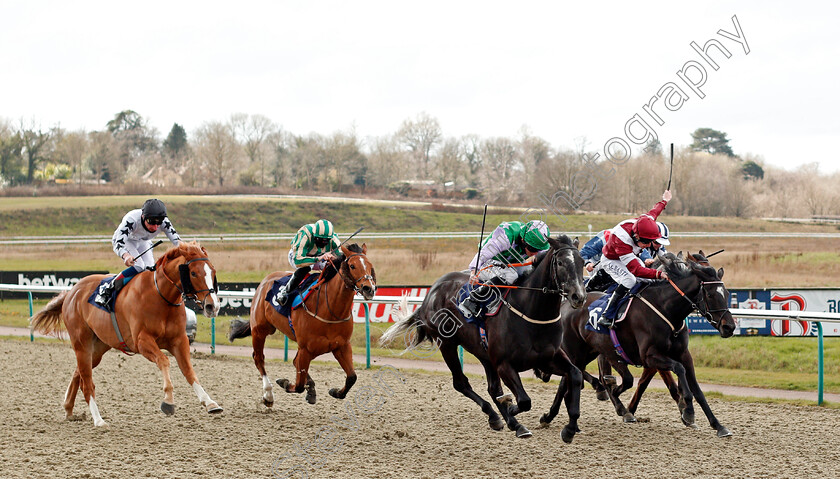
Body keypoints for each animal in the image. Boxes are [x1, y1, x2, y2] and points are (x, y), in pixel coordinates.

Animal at [31, 244, 225, 428]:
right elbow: (164, 361)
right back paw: (98, 420)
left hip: (98, 348)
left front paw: (210, 402)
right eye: (193, 273)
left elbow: (188, 371)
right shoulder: (141, 341)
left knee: (78, 373)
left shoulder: (179, 340)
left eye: (213, 271)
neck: (160, 296)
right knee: (87, 382)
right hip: (81, 344)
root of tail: (72, 292)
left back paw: (69, 409)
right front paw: (168, 401)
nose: (212, 306)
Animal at [228, 246, 376, 406]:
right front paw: (286, 383)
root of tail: (265, 281)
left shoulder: (341, 346)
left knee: (293, 362)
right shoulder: (306, 349)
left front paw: (335, 391)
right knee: (259, 358)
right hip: (260, 330)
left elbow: (352, 377)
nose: (369, 289)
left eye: (370, 266)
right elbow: (298, 385)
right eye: (352, 266)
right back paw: (268, 395)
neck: (330, 310)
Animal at [380, 234, 584, 440]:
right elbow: (524, 400)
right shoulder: (504, 363)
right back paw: (497, 416)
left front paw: (570, 428)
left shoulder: (547, 359)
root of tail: (431, 293)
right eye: (560, 262)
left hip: (483, 353)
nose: (579, 297)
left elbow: (575, 375)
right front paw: (511, 408)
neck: (532, 314)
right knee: (461, 383)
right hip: (447, 344)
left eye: (582, 262)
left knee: (492, 388)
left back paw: (513, 423)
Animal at [540, 253, 736, 436]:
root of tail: (567, 304)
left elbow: (697, 390)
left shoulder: (684, 355)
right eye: (710, 294)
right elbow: (678, 371)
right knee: (570, 379)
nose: (729, 327)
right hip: (576, 352)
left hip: (589, 352)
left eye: (726, 294)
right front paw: (687, 410)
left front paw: (718, 425)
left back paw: (549, 416)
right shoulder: (650, 356)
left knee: (568, 379)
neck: (667, 310)